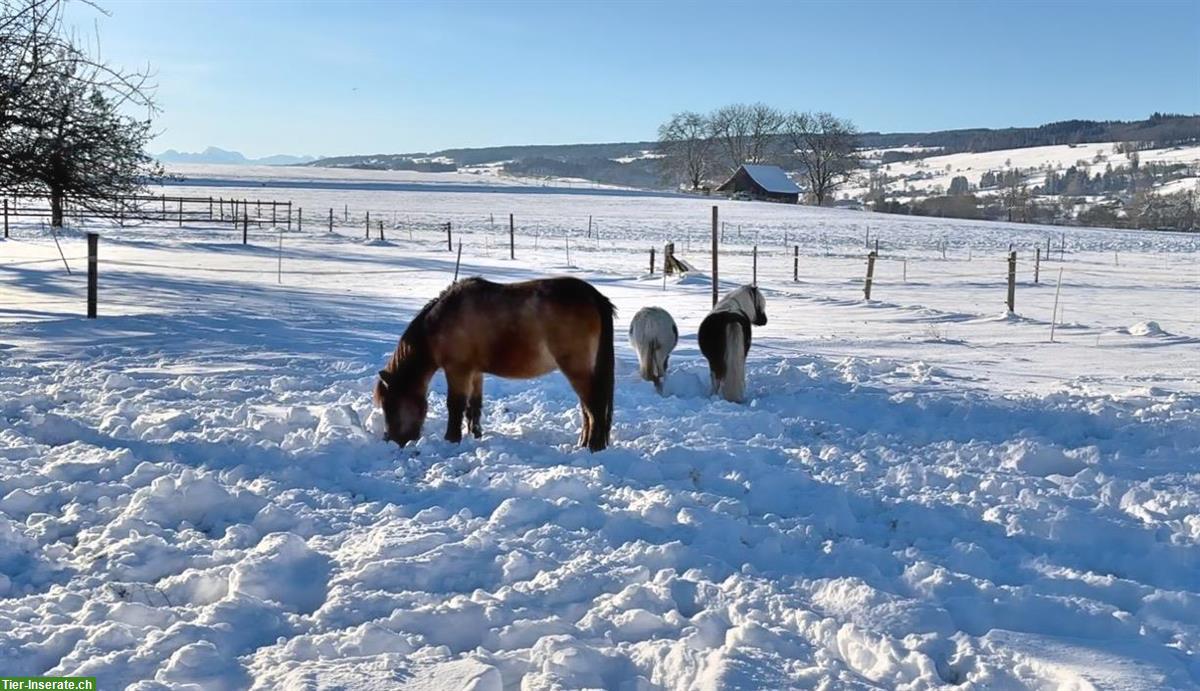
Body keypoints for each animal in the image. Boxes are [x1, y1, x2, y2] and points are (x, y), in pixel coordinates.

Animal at [376, 275, 619, 453]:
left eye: (390, 404)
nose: (392, 440)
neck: (440, 323)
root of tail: (592, 295)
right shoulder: (475, 372)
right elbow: (474, 406)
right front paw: (475, 435)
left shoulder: (457, 370)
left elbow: (455, 405)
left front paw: (451, 439)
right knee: (587, 410)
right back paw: (584, 443)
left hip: (577, 370)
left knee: (594, 407)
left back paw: (594, 447)